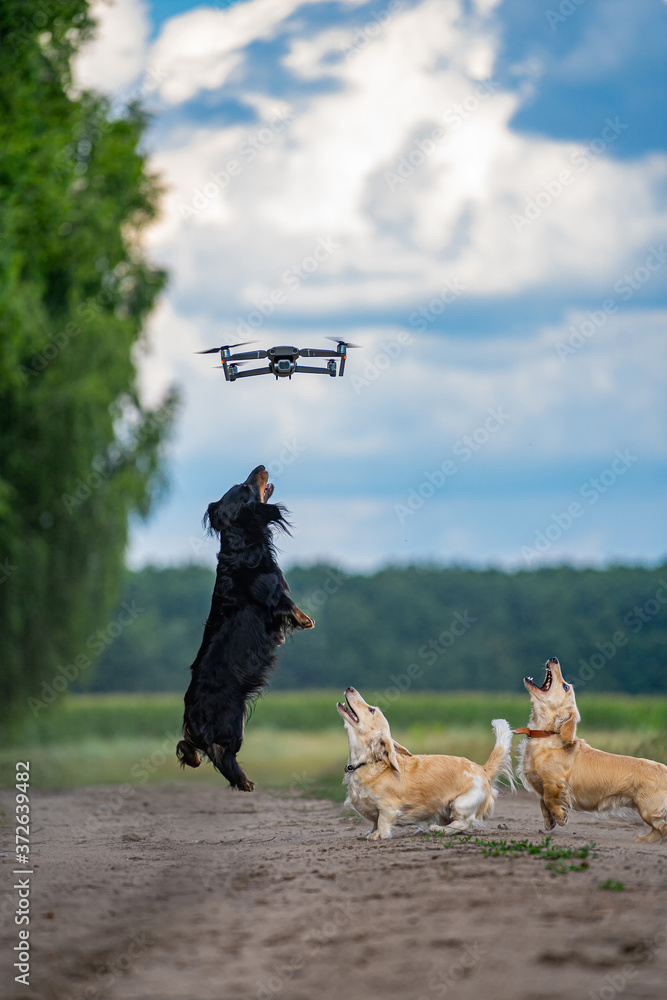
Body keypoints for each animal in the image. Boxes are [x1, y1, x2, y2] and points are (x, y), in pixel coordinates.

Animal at [176, 466, 314, 788]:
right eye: (245, 486)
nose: (260, 467)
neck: (242, 547)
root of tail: (192, 711)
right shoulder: (276, 596)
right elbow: (290, 606)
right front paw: (306, 620)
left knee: (192, 745)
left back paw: (200, 760)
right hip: (233, 723)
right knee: (220, 753)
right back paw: (243, 782)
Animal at [336, 688, 516, 836]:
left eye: (371, 709)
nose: (350, 688)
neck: (367, 762)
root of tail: (483, 770)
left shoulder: (388, 808)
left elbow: (382, 822)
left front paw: (377, 835)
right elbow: (374, 822)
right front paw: (370, 832)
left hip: (461, 804)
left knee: (462, 824)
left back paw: (438, 829)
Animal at [520, 660, 667, 840]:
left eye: (565, 686)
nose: (554, 659)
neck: (546, 735)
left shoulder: (554, 782)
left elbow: (548, 798)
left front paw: (560, 817)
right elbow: (542, 801)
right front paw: (549, 821)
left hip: (649, 810)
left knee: (662, 828)